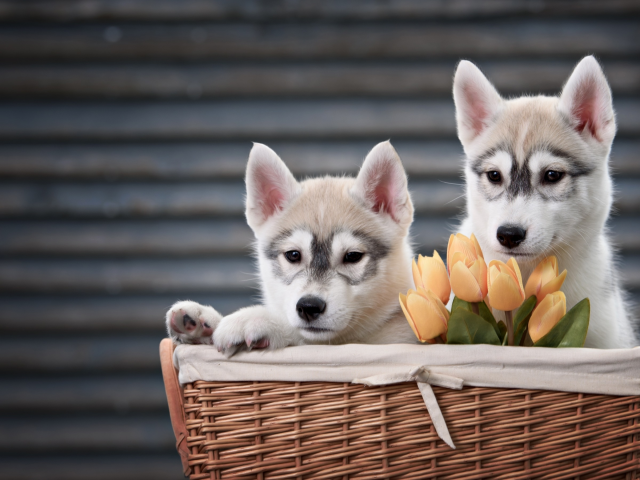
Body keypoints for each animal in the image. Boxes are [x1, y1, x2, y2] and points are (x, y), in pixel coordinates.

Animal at [165, 139, 418, 352]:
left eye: (353, 256)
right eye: (293, 255)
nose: (309, 307)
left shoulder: (393, 339)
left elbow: (302, 336)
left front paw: (256, 319)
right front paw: (203, 322)